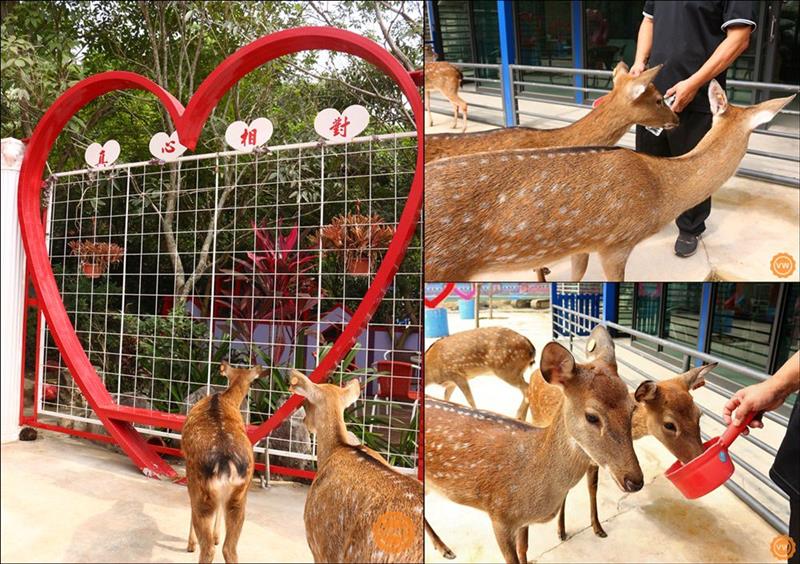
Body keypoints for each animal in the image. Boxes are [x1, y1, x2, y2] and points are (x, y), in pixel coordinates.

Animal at [182, 362, 262, 564]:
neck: (224, 399)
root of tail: (227, 465)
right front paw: (217, 536)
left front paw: (191, 544)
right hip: (240, 497)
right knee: (230, 549)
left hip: (202, 491)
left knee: (208, 549)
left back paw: (198, 545)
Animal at [428, 328, 648, 560]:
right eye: (591, 416)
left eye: (633, 408)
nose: (635, 481)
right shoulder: (498, 515)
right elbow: (512, 557)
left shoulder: (522, 520)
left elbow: (524, 549)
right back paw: (444, 549)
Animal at [528, 328, 716, 540]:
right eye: (669, 424)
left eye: (698, 414)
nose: (699, 457)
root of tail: (534, 374)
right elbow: (566, 490)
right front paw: (561, 531)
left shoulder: (594, 462)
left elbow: (592, 488)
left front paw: (598, 528)